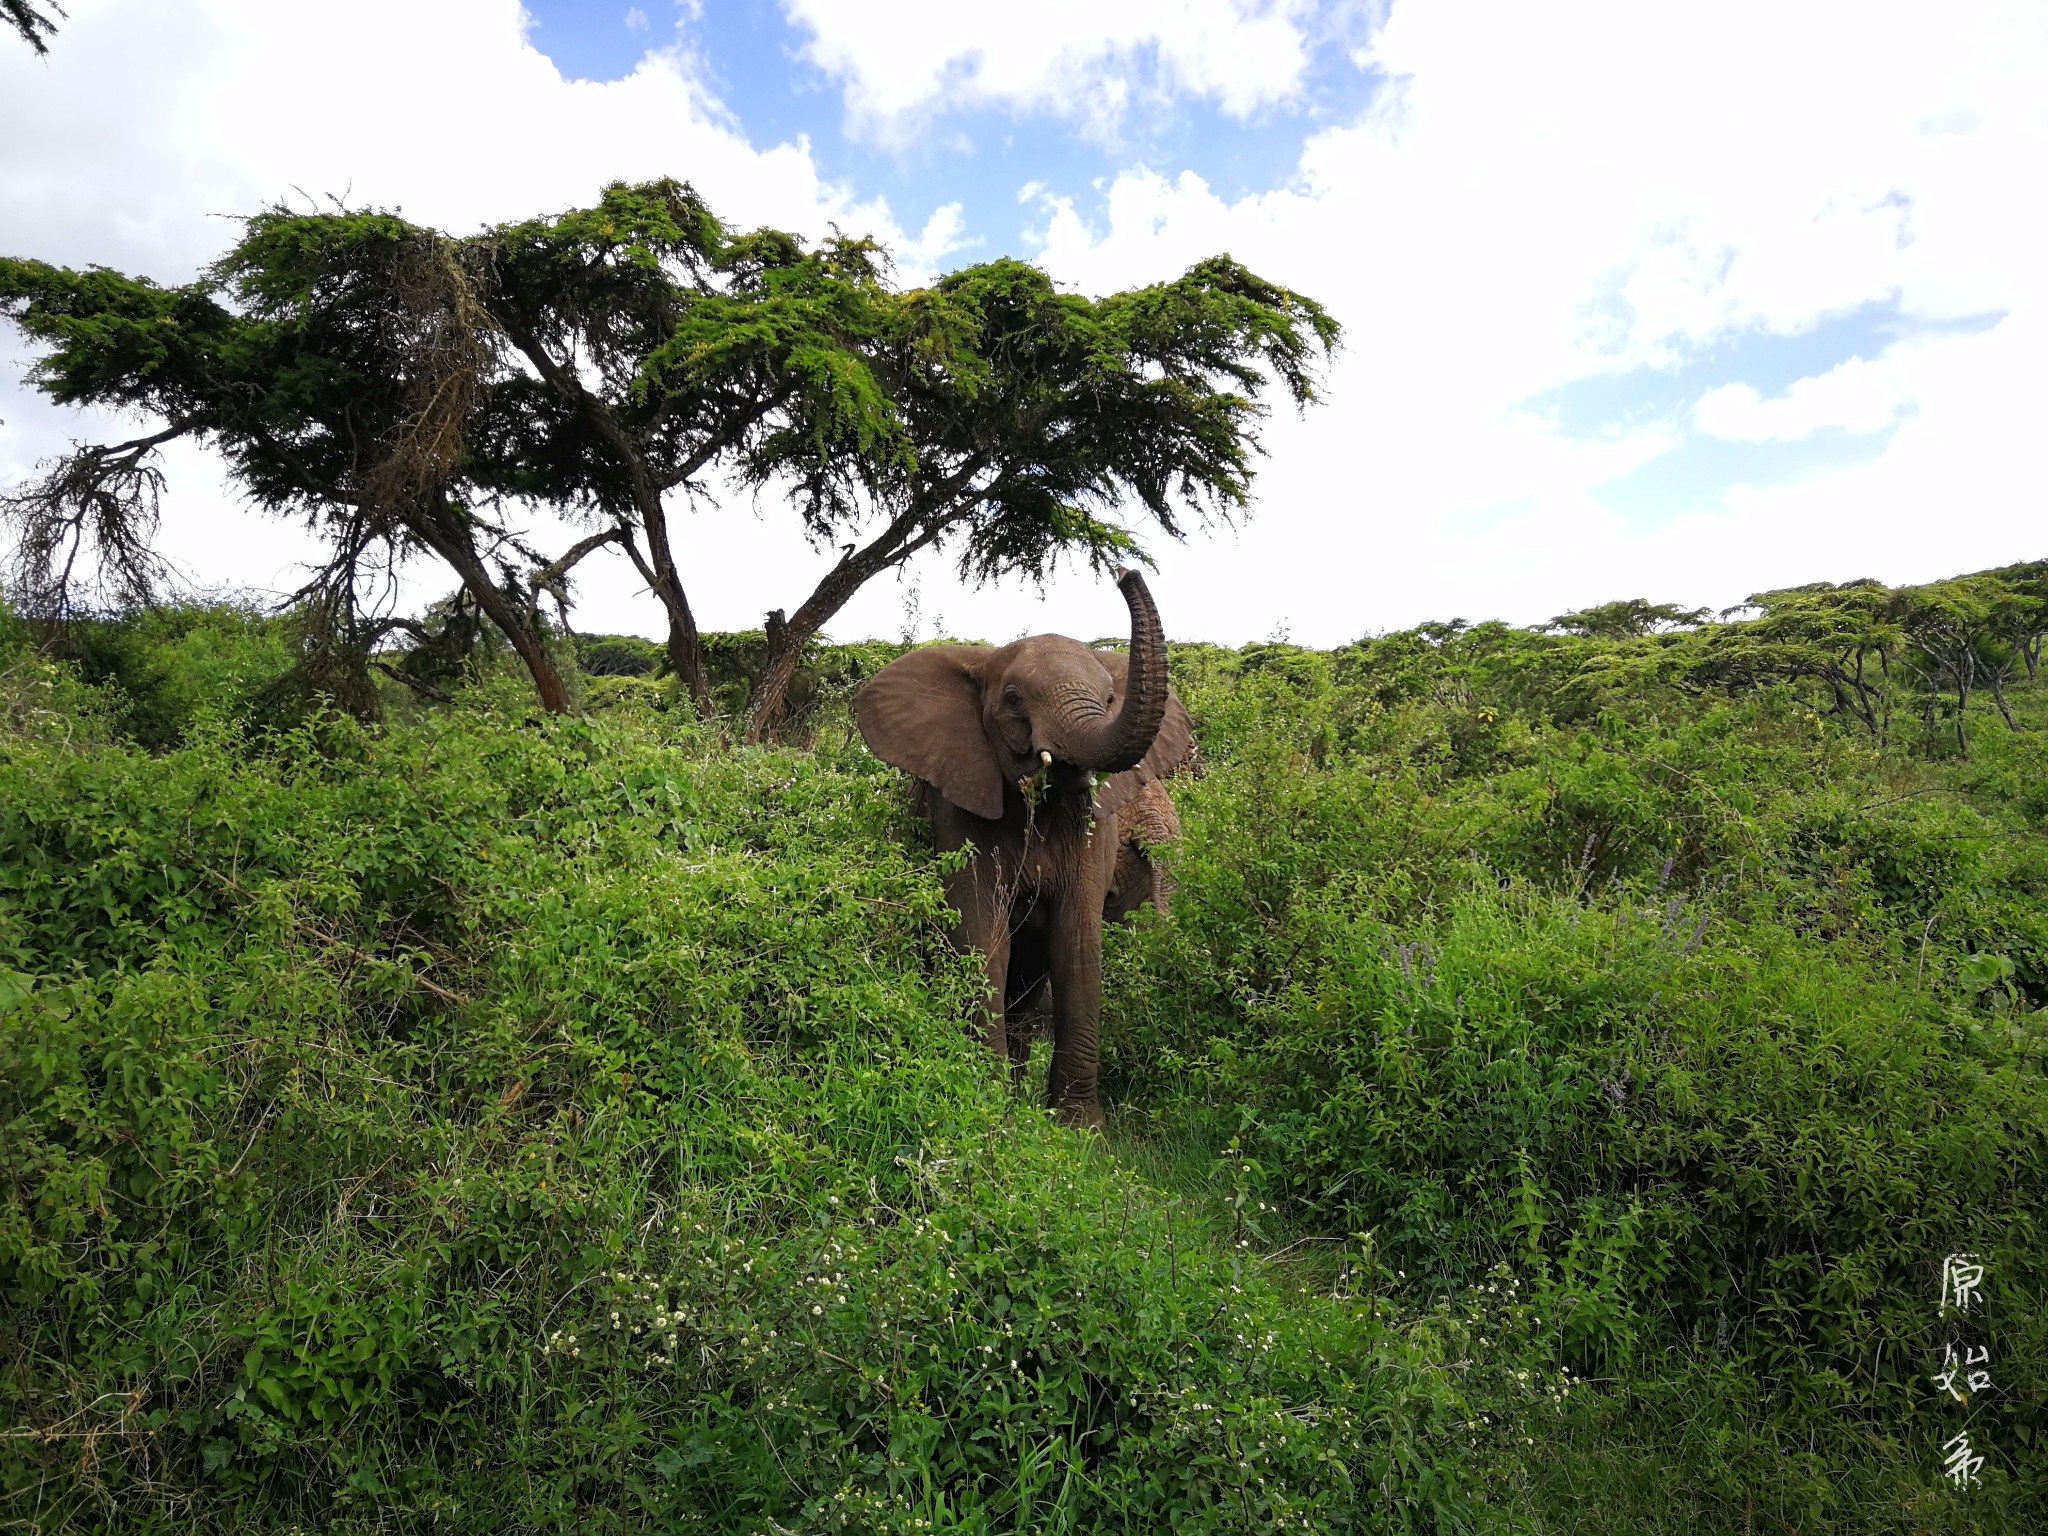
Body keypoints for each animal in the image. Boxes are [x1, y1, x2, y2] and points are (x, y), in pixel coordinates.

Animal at [856, 573, 1196, 1122]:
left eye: (1109, 698)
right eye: (1013, 699)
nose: (1126, 574)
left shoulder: (1094, 830)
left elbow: (1078, 945)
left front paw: (1079, 1129)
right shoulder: (960, 808)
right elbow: (981, 937)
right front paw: (993, 1113)